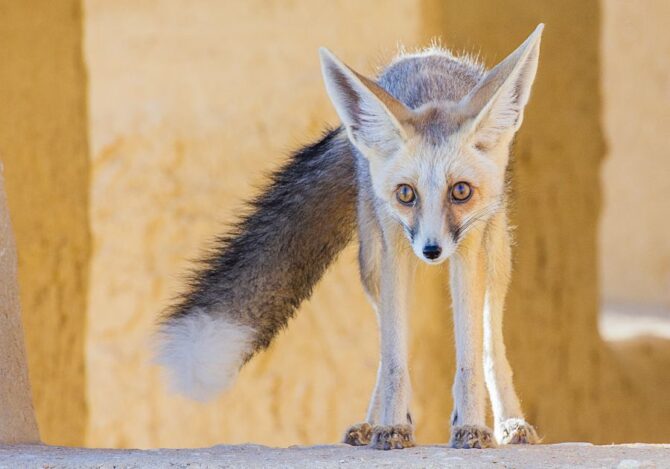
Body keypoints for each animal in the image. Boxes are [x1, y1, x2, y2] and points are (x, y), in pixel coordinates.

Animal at [156, 24, 544, 450]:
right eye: (406, 194)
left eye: (460, 191)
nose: (431, 250)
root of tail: (425, 55)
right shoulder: (394, 244)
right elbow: (393, 360)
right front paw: (392, 426)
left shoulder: (468, 248)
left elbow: (470, 357)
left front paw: (471, 427)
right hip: (372, 262)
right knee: (389, 347)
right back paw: (376, 422)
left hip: (495, 255)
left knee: (491, 341)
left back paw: (510, 422)